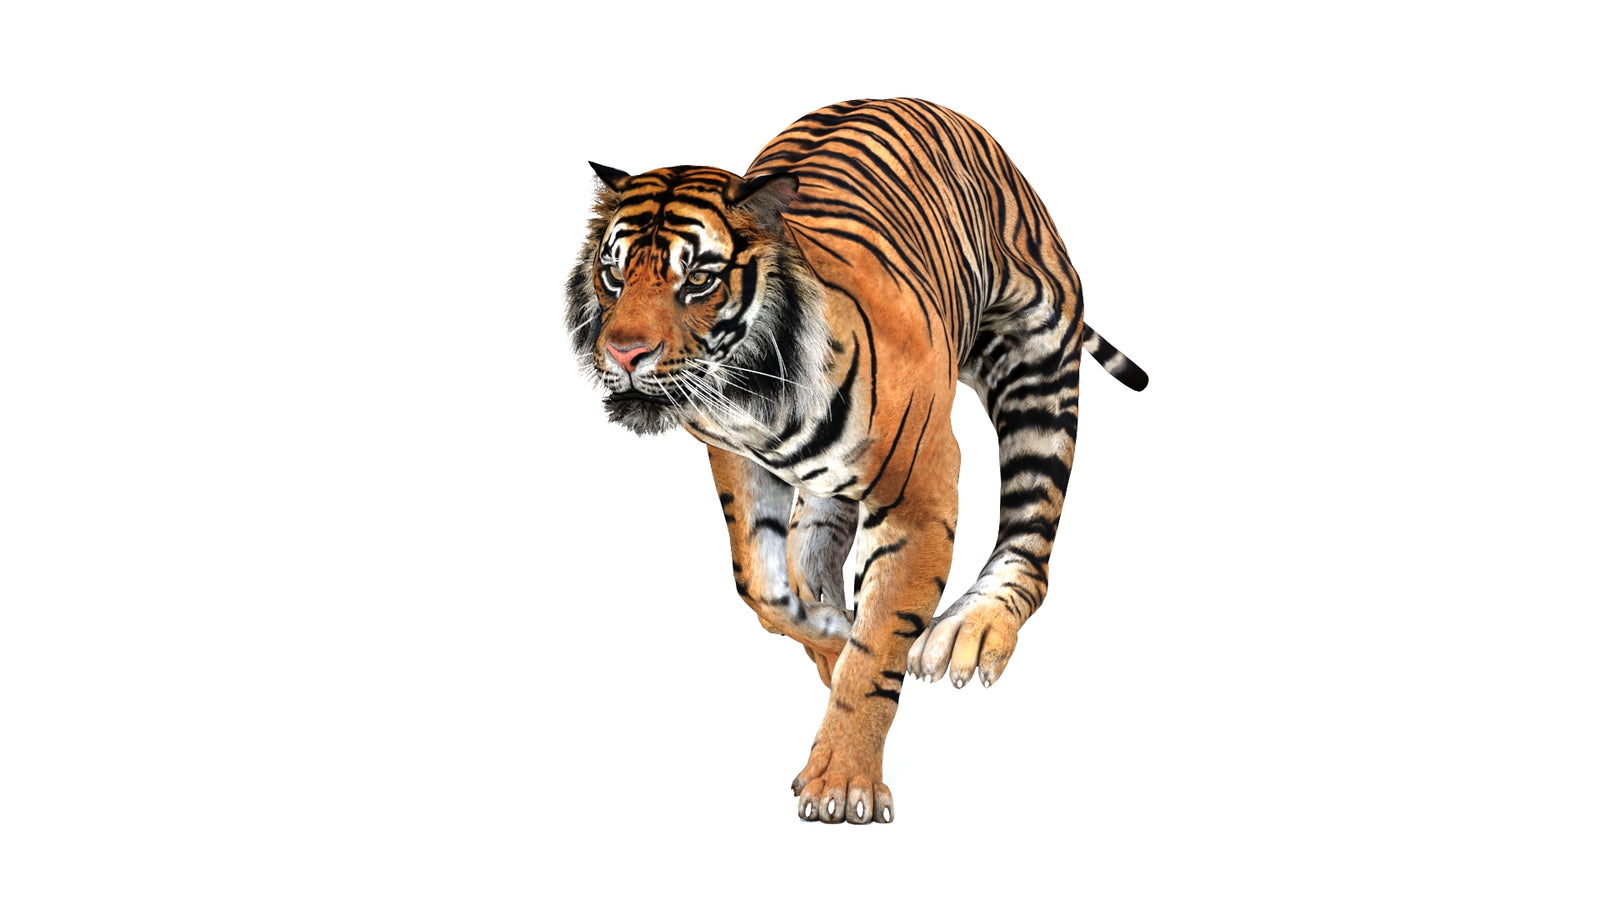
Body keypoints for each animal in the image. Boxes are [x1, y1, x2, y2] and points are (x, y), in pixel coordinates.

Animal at [565, 98, 1147, 824]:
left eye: (697, 279)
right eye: (614, 272)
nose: (622, 352)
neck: (754, 395)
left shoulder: (922, 495)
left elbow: (876, 653)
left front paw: (842, 781)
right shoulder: (735, 456)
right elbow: (762, 586)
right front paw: (831, 641)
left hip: (1036, 363)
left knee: (1031, 535)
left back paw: (974, 629)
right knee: (809, 548)